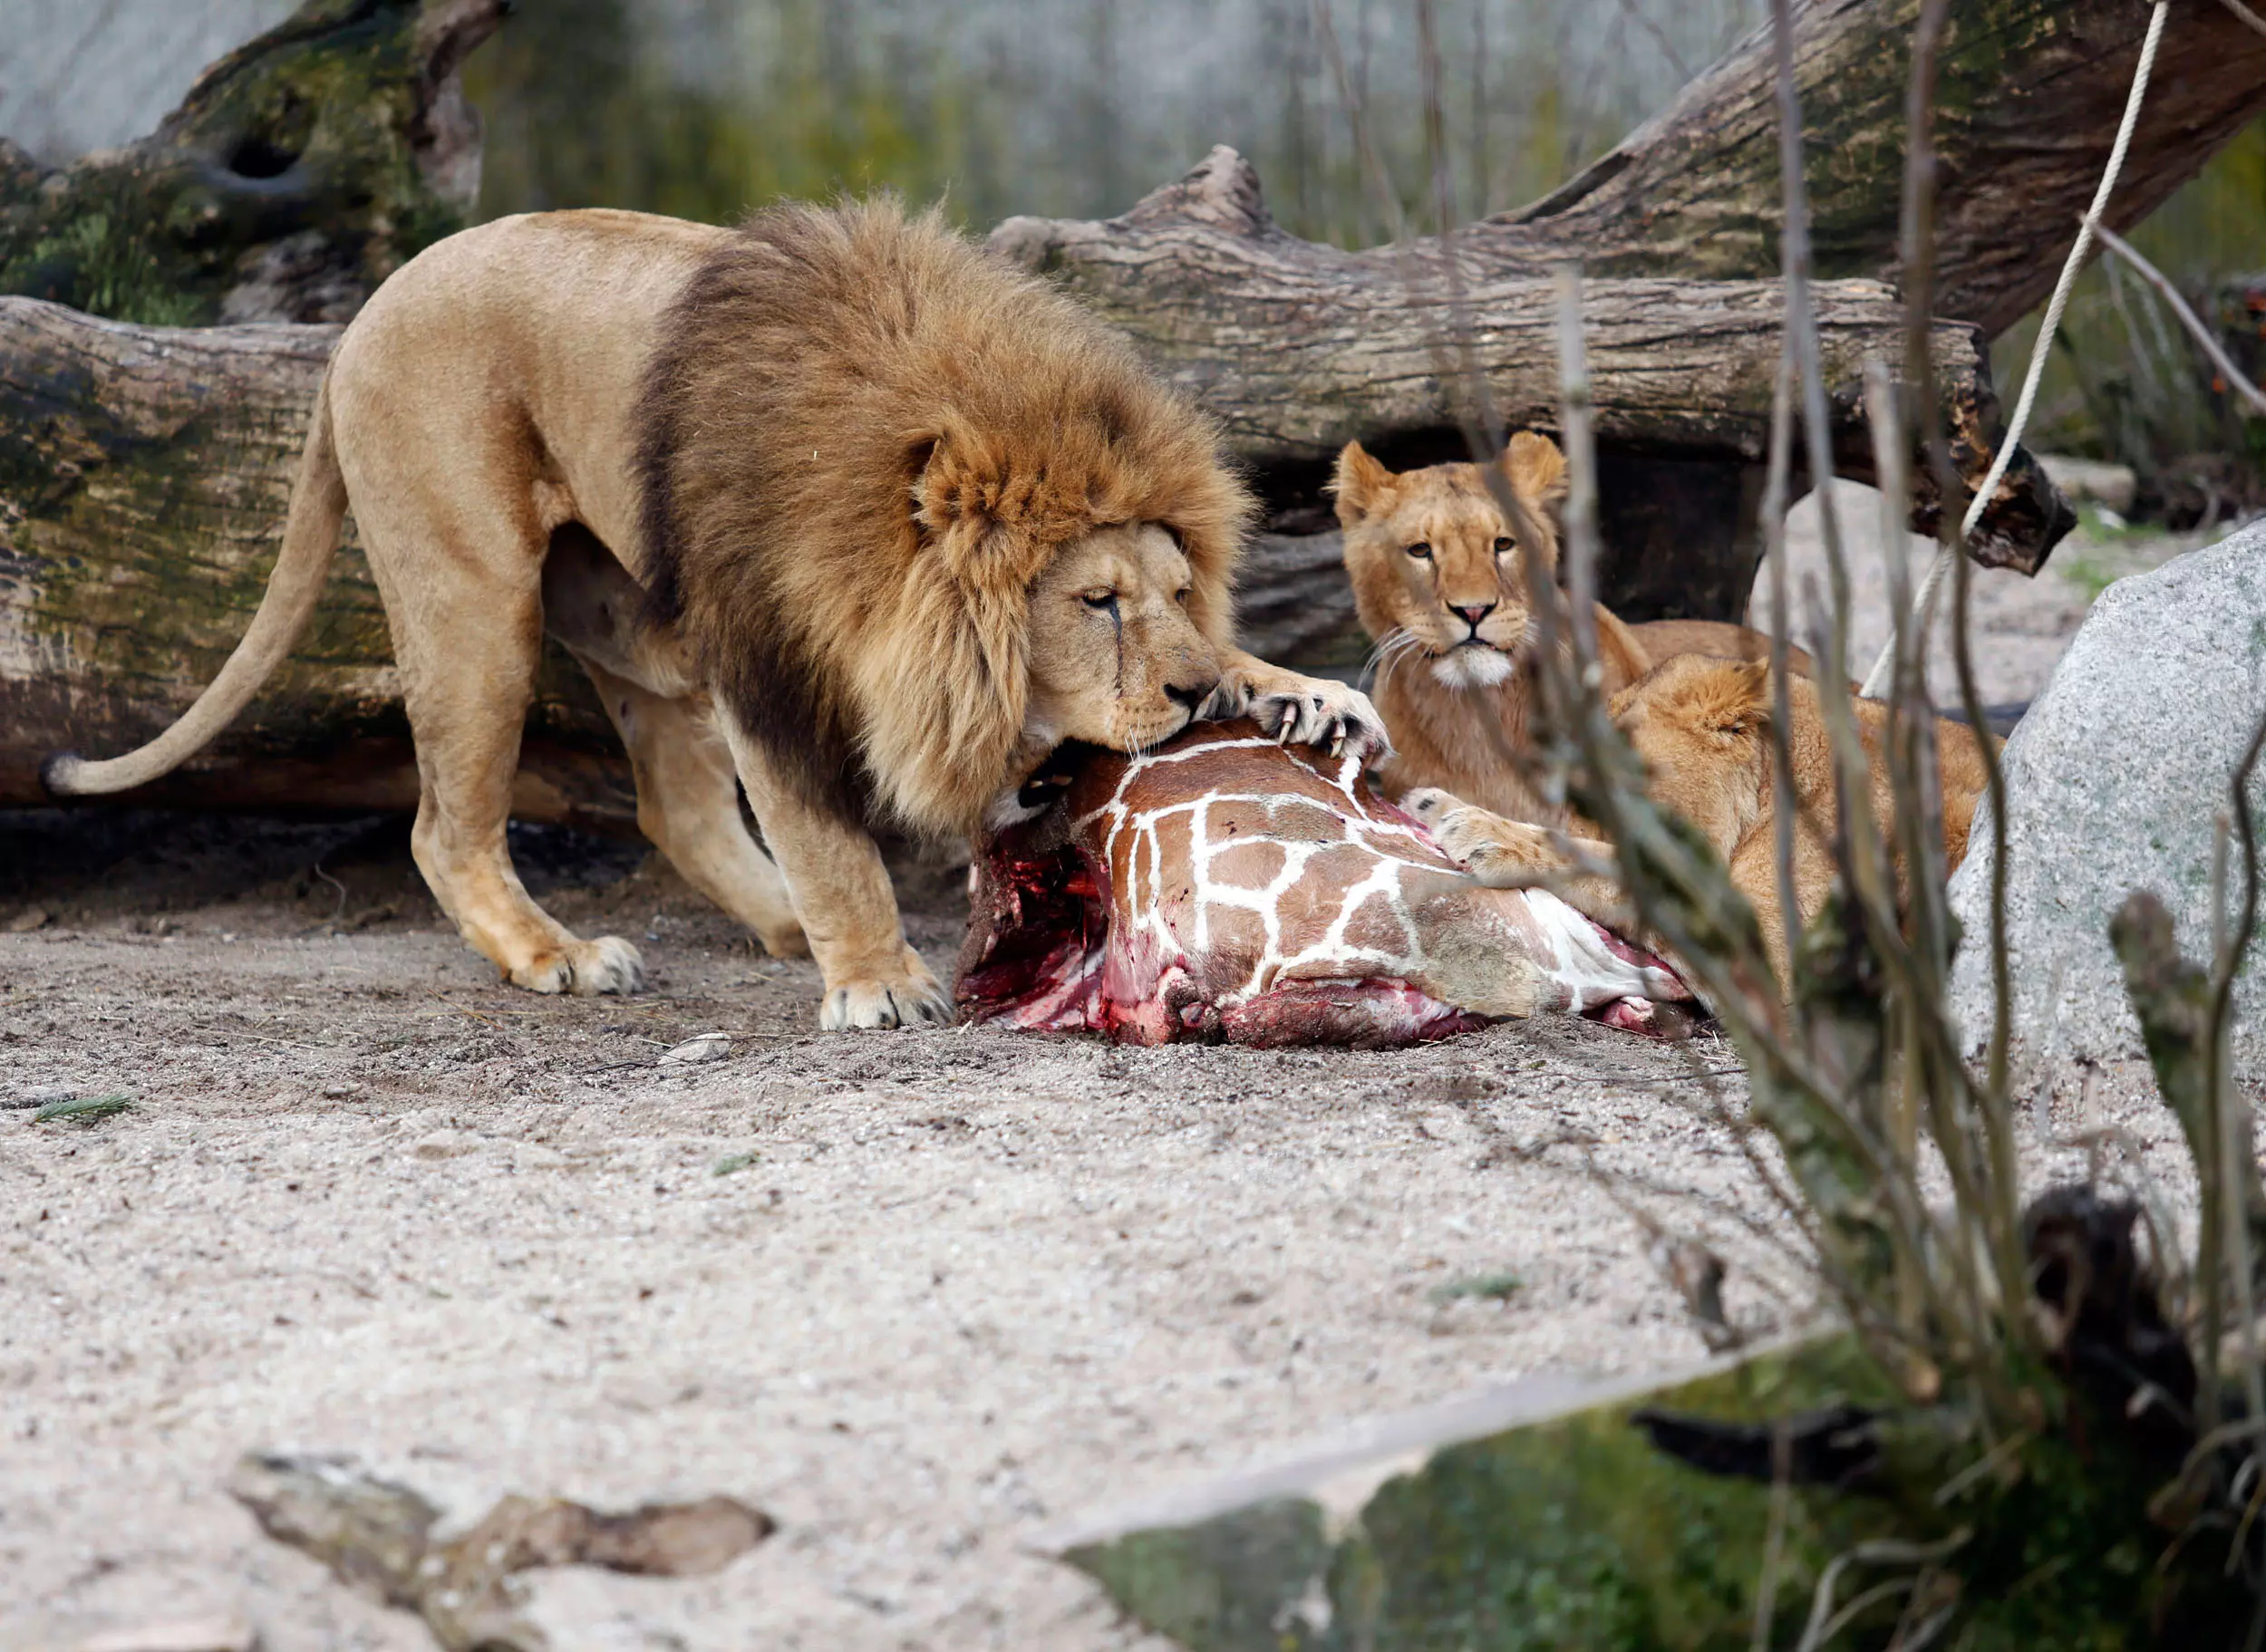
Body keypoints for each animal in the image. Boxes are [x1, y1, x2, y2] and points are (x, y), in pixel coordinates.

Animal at [44, 199, 1378, 1033]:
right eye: (1094, 601)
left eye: (1175, 590)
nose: (1195, 692)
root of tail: (354, 326)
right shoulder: (767, 659)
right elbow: (829, 832)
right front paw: (878, 978)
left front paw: (1303, 694)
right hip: (477, 601)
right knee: (444, 827)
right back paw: (562, 954)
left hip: (633, 619)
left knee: (670, 804)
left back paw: (775, 921)